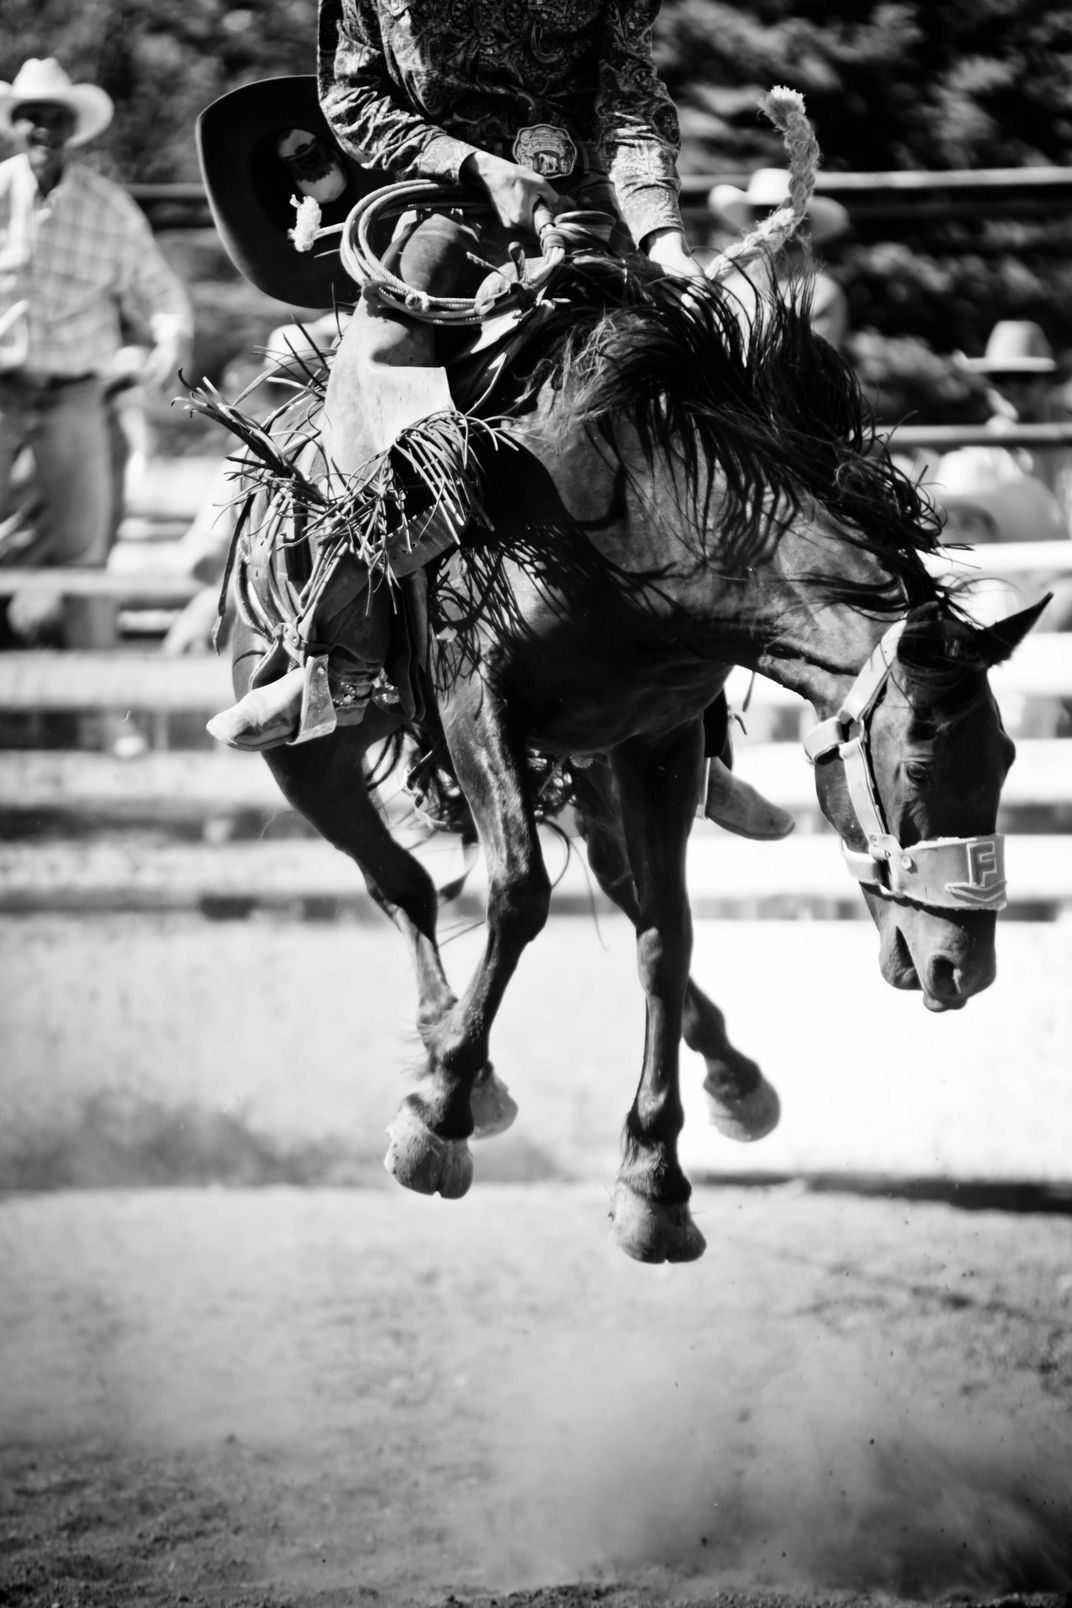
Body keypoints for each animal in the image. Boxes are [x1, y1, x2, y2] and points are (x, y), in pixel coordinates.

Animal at [220, 250, 1047, 1260]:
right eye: (918, 767)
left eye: (1005, 760)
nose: (961, 968)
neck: (635, 526)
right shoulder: (474, 701)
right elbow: (520, 893)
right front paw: (437, 1117)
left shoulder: (659, 742)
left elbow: (665, 933)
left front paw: (655, 1181)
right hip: (310, 751)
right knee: (400, 883)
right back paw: (461, 1063)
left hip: (590, 767)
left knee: (612, 883)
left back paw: (731, 1076)